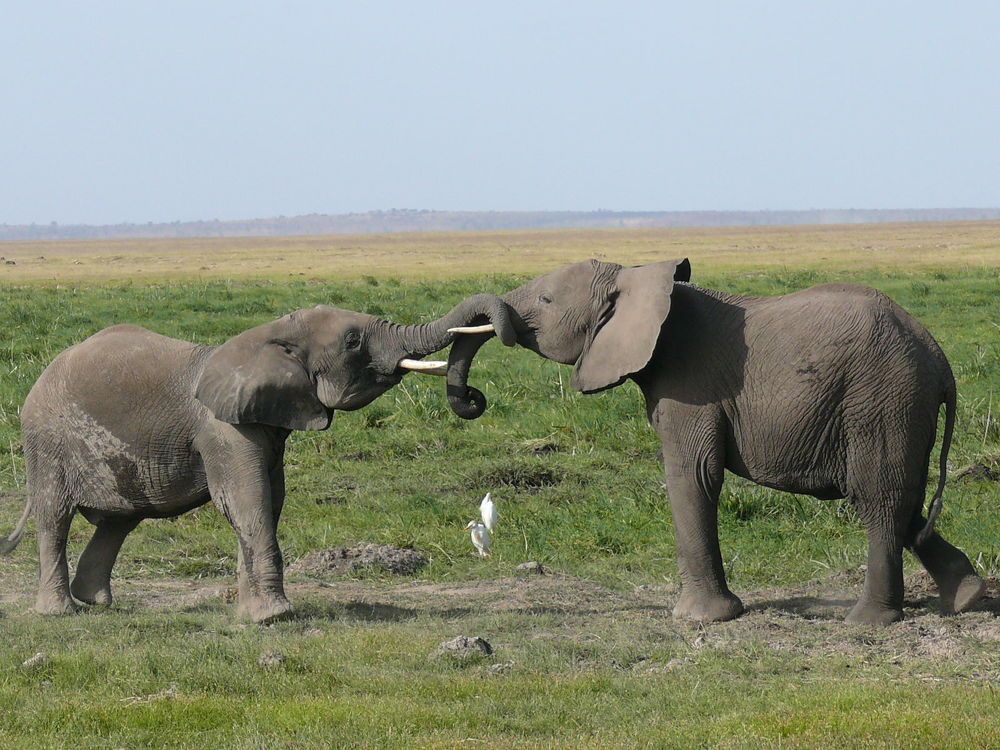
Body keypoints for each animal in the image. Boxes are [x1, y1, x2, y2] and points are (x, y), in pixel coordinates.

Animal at [1, 295, 514, 622]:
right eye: (352, 342)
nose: (473, 397)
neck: (268, 334)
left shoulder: (267, 424)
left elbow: (267, 501)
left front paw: (250, 614)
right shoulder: (223, 428)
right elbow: (246, 499)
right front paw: (273, 618)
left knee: (118, 522)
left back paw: (98, 603)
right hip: (46, 442)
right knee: (55, 517)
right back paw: (61, 613)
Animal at [445, 259, 986, 625]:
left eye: (546, 302)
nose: (472, 398)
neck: (638, 277)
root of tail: (939, 359)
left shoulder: (692, 386)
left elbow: (694, 475)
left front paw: (700, 620)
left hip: (882, 400)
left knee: (877, 499)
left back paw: (867, 621)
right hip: (896, 407)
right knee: (902, 499)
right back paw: (967, 599)